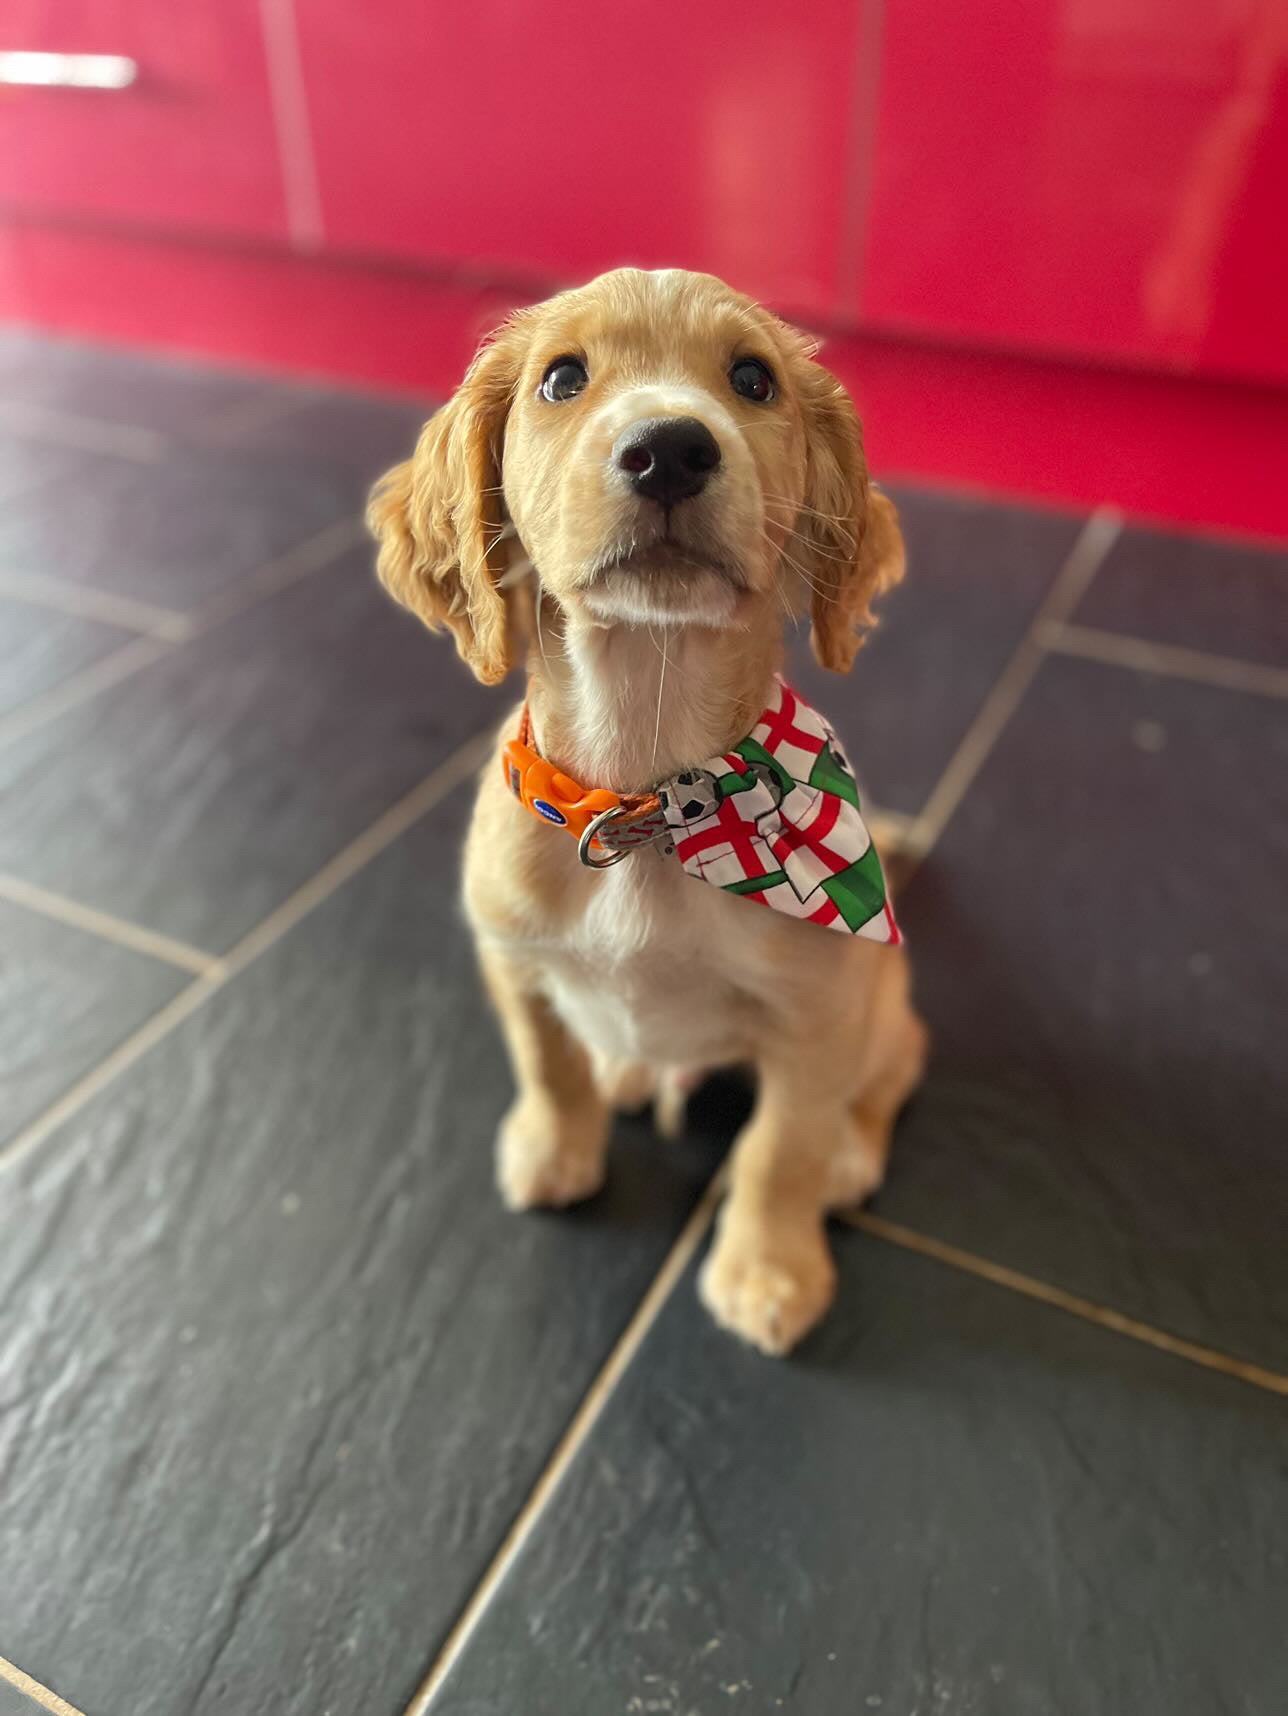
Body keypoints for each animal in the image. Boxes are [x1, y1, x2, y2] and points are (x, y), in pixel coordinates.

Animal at [370, 271, 926, 1352]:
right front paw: (553, 1151)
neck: (650, 798)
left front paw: (768, 1271)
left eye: (752, 379)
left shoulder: (818, 1015)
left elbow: (780, 1148)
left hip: (886, 1011)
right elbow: (546, 1064)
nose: (668, 446)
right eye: (561, 379)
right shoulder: (513, 957)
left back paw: (850, 1155)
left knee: (887, 1080)